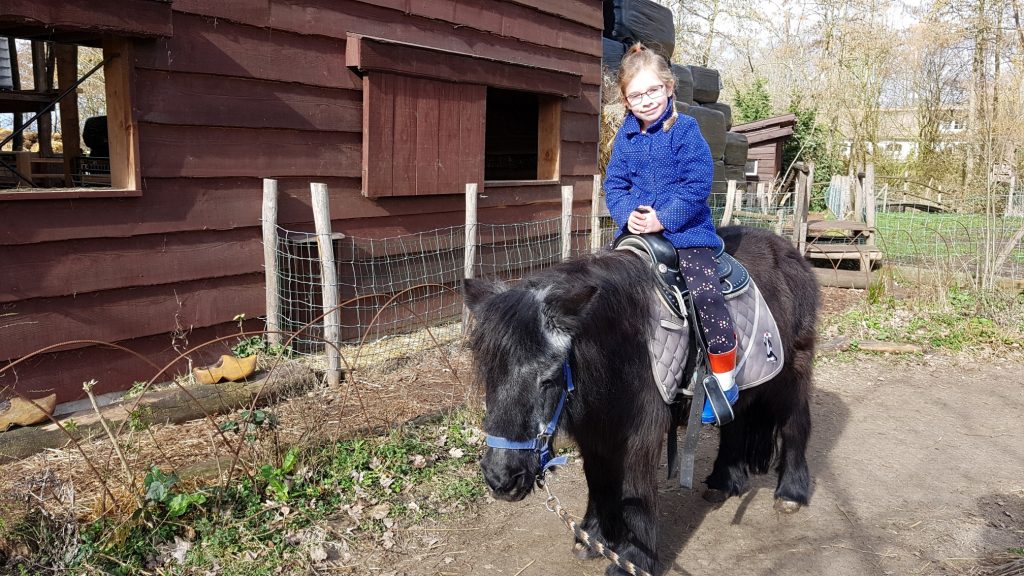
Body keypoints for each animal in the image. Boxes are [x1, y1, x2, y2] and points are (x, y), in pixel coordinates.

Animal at [462, 223, 815, 569]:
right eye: (489, 374)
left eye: (548, 378)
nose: (501, 479)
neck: (624, 343)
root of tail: (788, 251)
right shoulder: (595, 428)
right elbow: (598, 479)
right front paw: (593, 538)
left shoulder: (641, 430)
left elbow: (635, 488)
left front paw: (632, 559)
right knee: (735, 421)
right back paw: (724, 481)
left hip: (792, 372)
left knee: (795, 424)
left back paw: (790, 493)